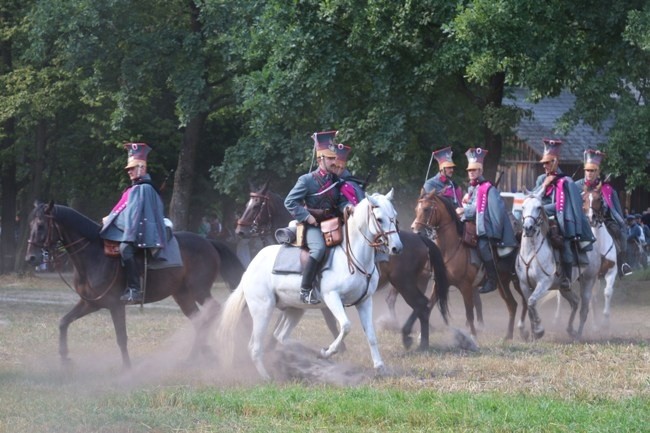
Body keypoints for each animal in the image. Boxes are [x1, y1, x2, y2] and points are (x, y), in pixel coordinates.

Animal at [24, 202, 243, 368]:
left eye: (41, 225)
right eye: (30, 224)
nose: (30, 258)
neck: (94, 255)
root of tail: (209, 243)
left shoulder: (115, 305)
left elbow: (121, 337)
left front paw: (127, 367)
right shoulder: (90, 303)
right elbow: (64, 322)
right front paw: (64, 357)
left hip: (199, 290)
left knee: (212, 310)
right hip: (182, 294)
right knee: (198, 319)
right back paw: (198, 355)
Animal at [218, 190, 400, 378]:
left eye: (395, 217)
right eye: (379, 219)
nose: (396, 247)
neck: (353, 257)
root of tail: (249, 269)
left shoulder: (365, 301)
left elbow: (370, 334)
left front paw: (380, 366)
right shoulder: (332, 297)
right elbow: (345, 326)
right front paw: (329, 351)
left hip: (294, 310)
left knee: (280, 336)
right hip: (262, 310)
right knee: (254, 347)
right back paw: (268, 376)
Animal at [410, 191, 528, 340]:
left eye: (426, 209)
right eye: (416, 209)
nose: (416, 232)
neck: (451, 248)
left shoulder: (465, 286)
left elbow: (469, 312)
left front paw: (472, 335)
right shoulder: (439, 284)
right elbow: (429, 305)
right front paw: (421, 335)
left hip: (518, 282)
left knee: (527, 301)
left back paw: (525, 330)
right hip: (503, 284)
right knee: (513, 305)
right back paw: (508, 336)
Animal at [512, 191, 596, 340]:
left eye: (539, 207)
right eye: (523, 207)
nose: (528, 228)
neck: (531, 253)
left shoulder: (543, 283)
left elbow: (532, 302)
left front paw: (539, 330)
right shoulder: (524, 285)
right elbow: (529, 306)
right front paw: (533, 333)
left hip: (588, 281)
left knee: (584, 309)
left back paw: (578, 336)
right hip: (563, 288)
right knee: (575, 302)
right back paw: (570, 330)